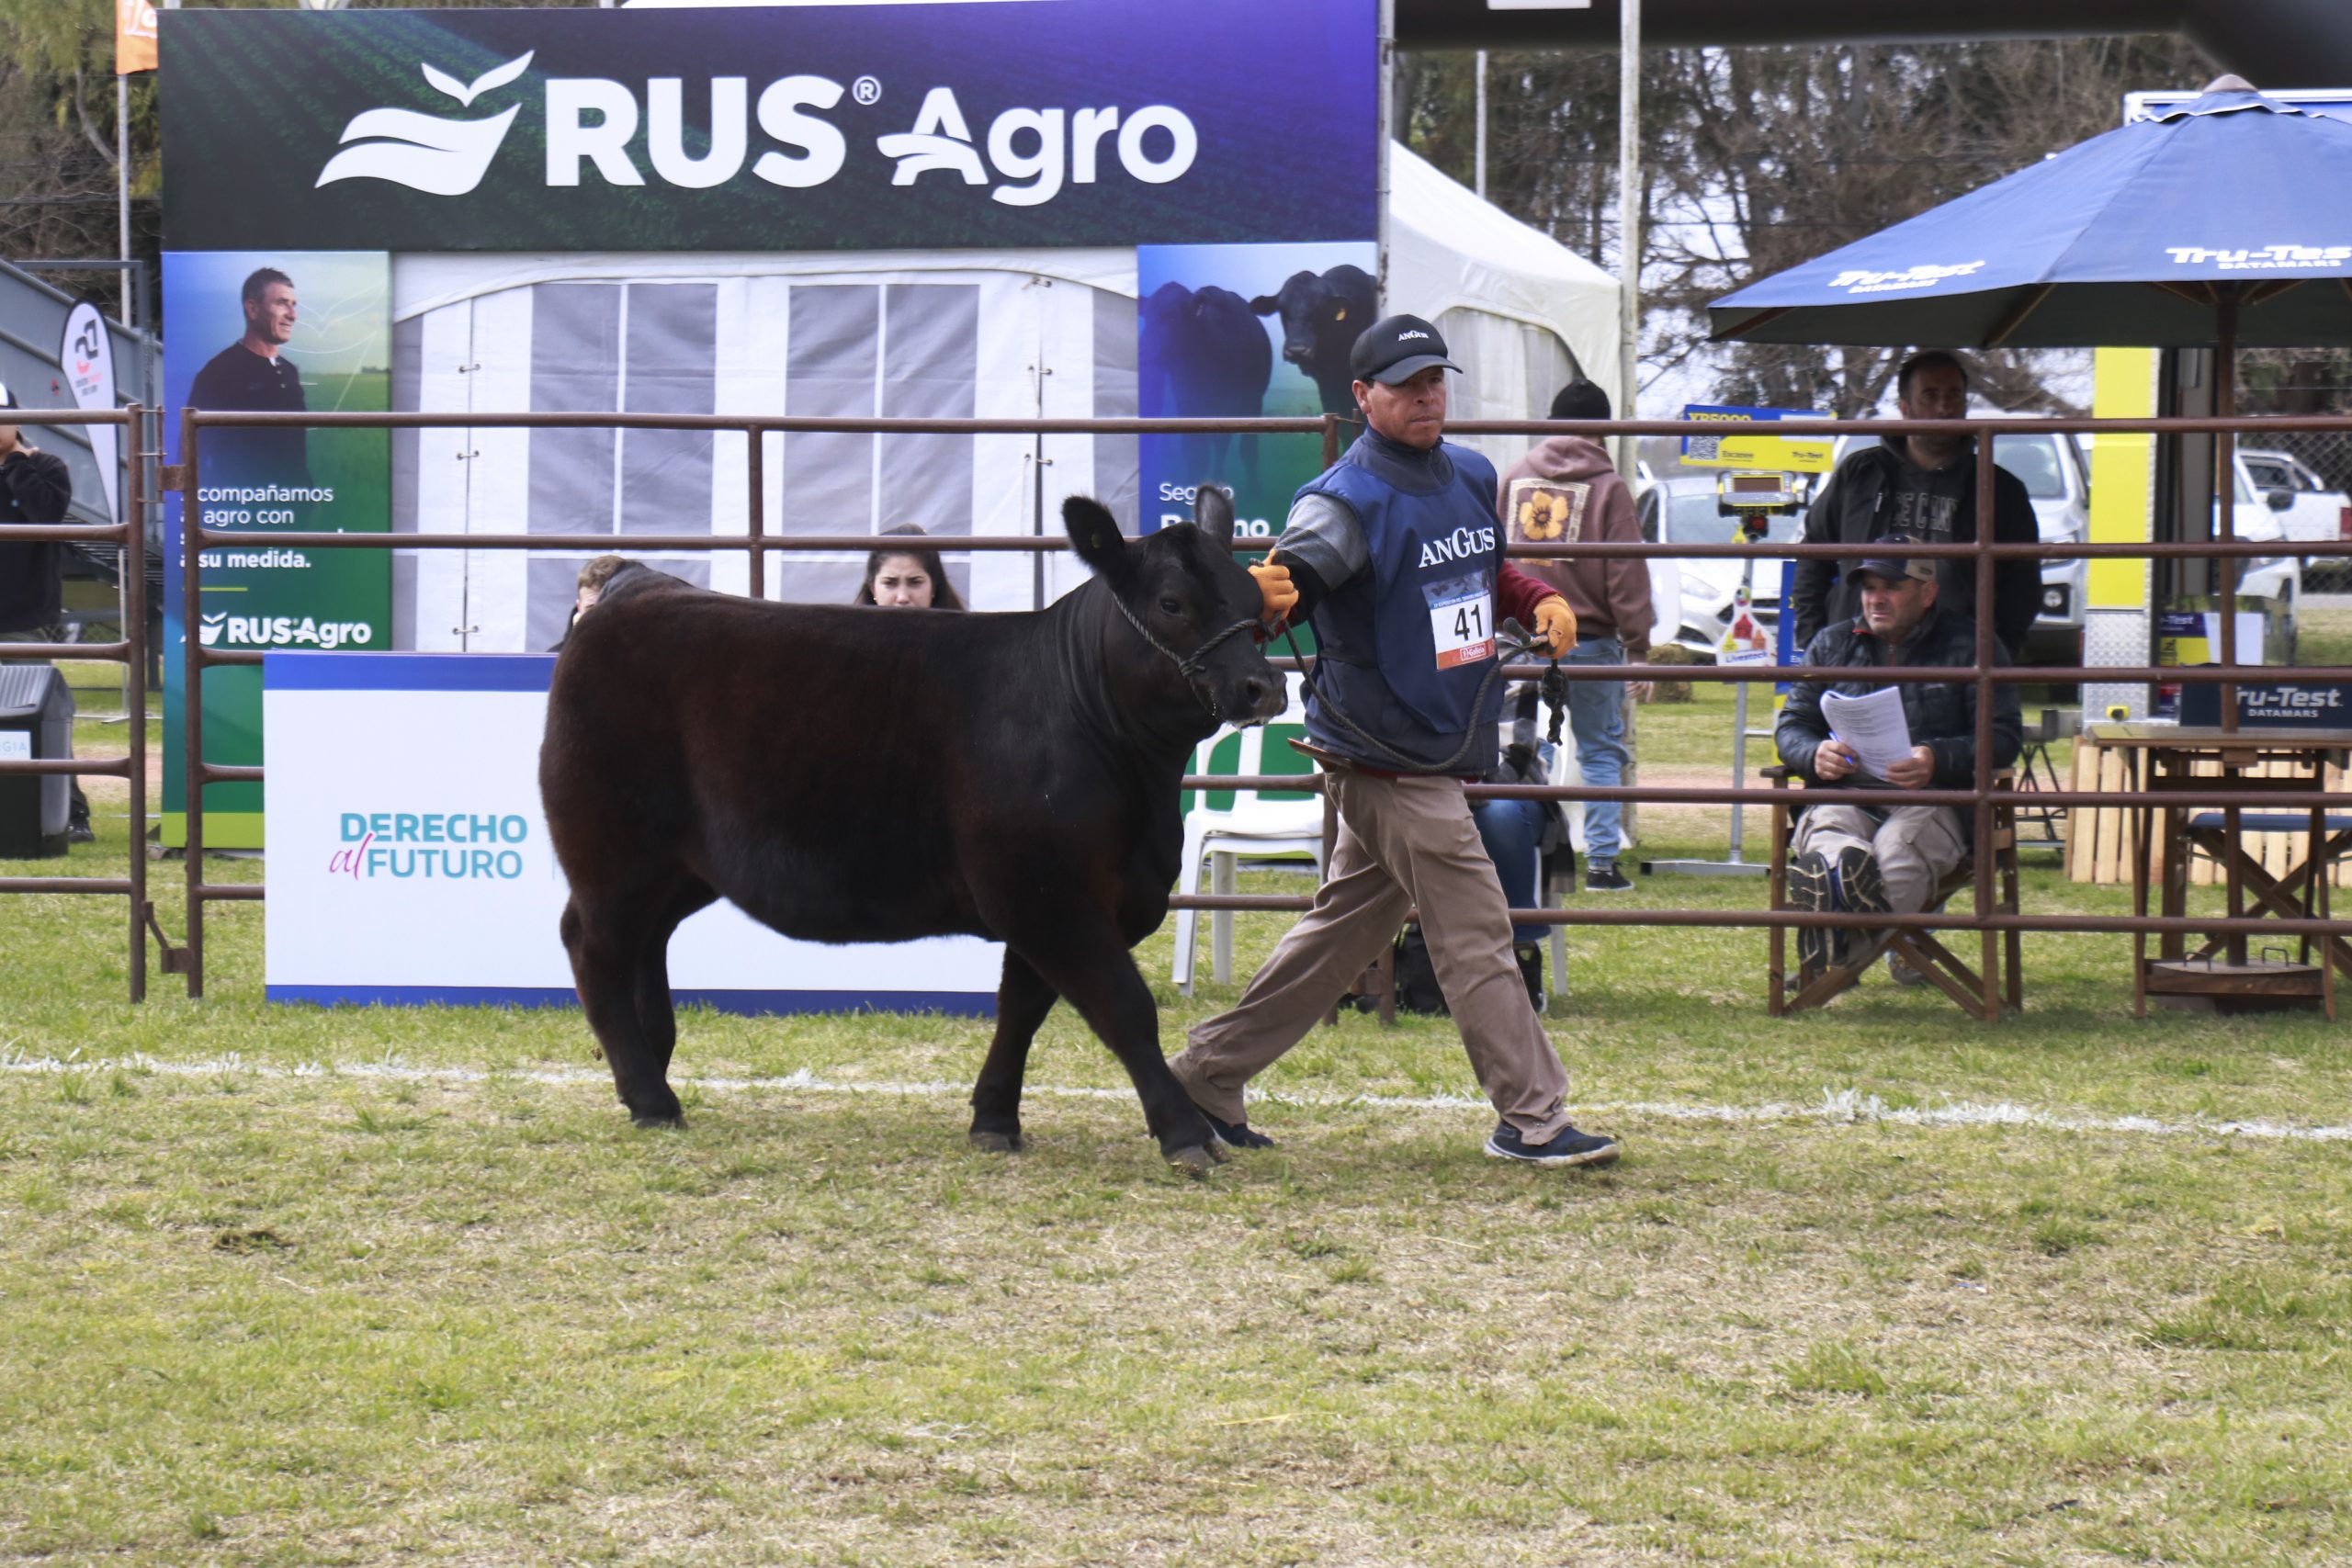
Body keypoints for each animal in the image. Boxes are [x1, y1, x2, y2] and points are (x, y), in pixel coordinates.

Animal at [540, 495, 1288, 1170]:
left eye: (1253, 597)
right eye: (1171, 603)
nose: (1264, 688)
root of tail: (637, 588)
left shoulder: (1047, 898)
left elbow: (1022, 1005)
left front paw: (994, 1118)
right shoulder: (1045, 892)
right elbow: (1122, 1007)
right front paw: (1186, 1134)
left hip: (678, 866)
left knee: (645, 943)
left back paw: (652, 1066)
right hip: (612, 850)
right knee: (592, 945)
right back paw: (650, 1096)